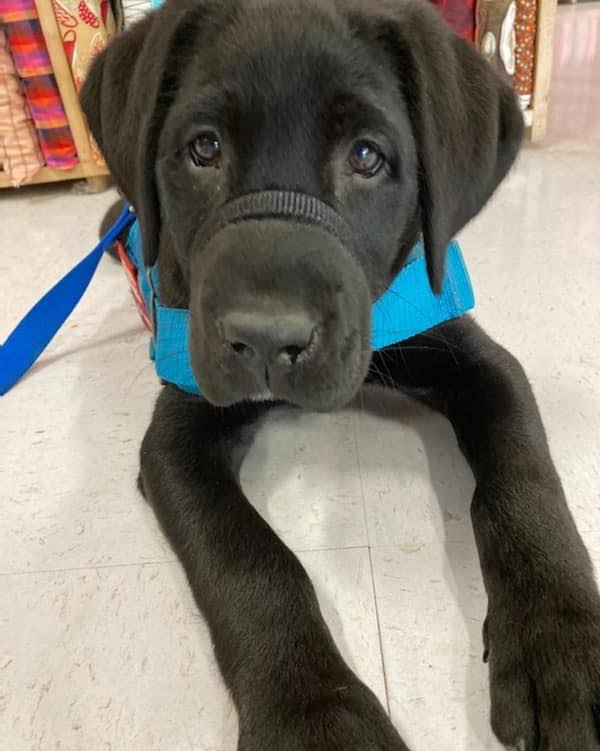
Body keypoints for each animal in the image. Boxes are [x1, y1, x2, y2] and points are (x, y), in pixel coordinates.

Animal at [82, 2, 600, 748]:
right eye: (204, 148)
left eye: (366, 156)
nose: (267, 338)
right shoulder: (176, 432)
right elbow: (247, 557)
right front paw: (312, 712)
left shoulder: (481, 361)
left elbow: (523, 479)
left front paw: (558, 642)